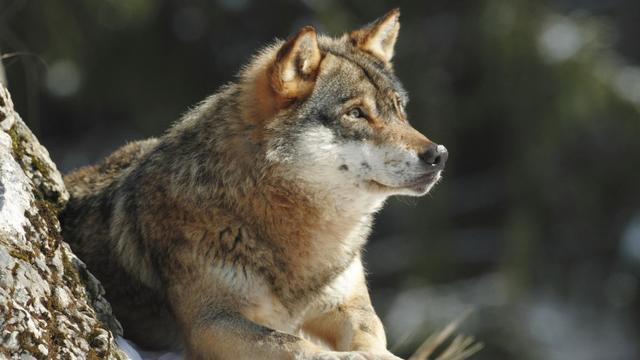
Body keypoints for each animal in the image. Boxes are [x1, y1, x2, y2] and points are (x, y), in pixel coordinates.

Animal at [61, 9, 450, 360]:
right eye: (356, 113)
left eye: (398, 109)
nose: (439, 155)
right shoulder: (211, 324)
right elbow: (294, 345)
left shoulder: (348, 305)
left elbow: (373, 339)